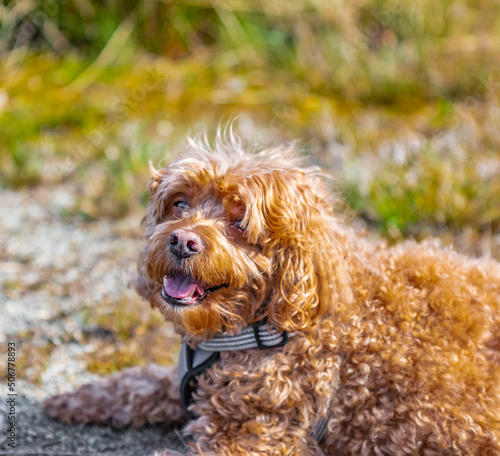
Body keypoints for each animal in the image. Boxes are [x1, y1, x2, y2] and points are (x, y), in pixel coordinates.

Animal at [45, 136, 500, 456]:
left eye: (239, 222)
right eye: (179, 204)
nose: (181, 240)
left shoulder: (259, 435)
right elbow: (136, 382)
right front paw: (77, 399)